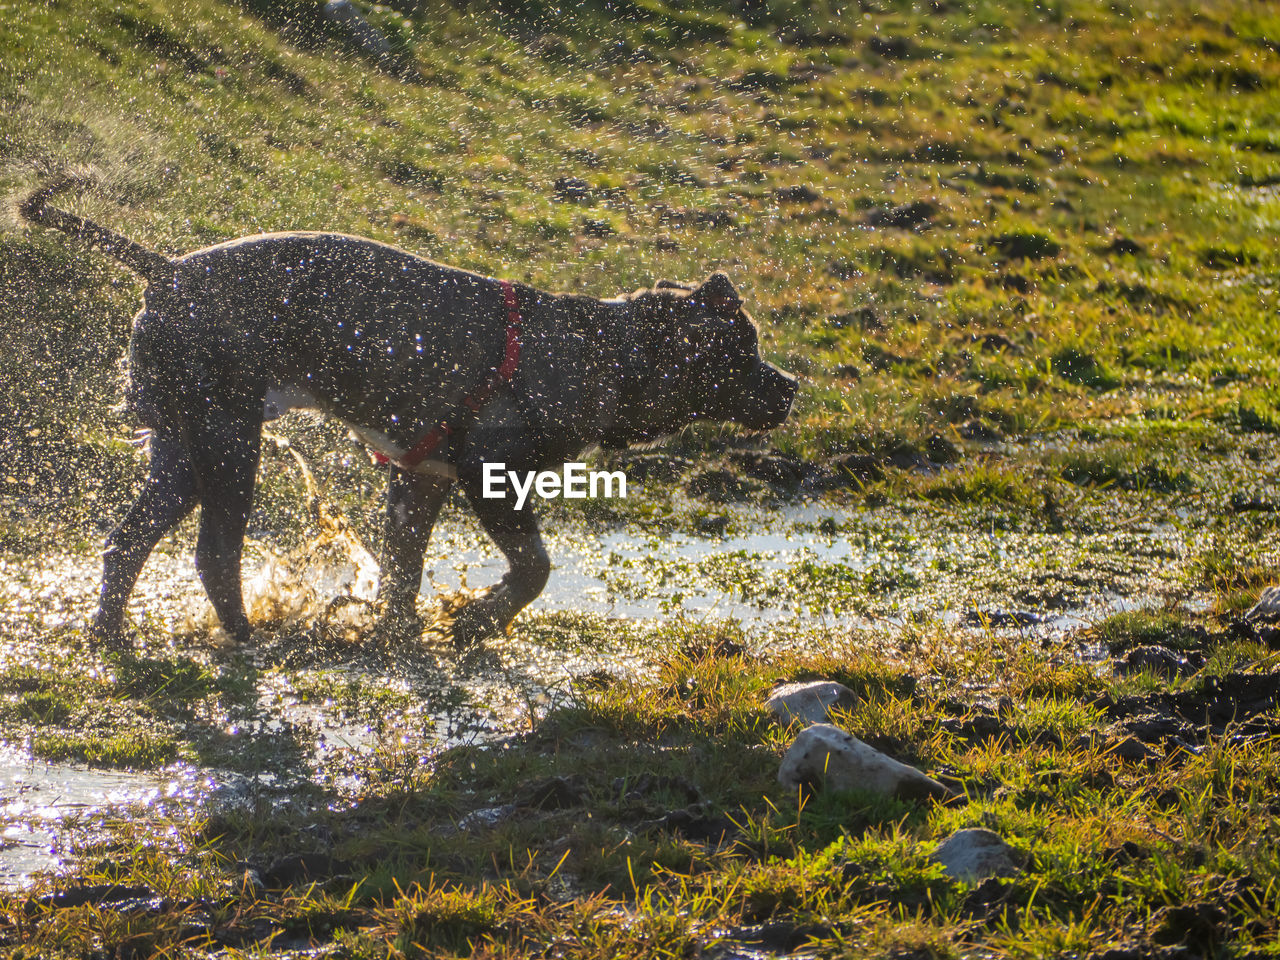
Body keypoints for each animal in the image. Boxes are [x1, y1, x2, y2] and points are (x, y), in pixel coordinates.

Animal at [20, 177, 793, 650]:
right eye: (744, 349)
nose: (790, 388)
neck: (598, 353)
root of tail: (166, 269)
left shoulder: (419, 479)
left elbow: (402, 571)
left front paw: (399, 635)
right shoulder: (491, 476)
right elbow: (534, 567)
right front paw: (476, 623)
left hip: (183, 451)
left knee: (126, 543)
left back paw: (112, 634)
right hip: (227, 443)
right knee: (214, 552)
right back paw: (245, 635)